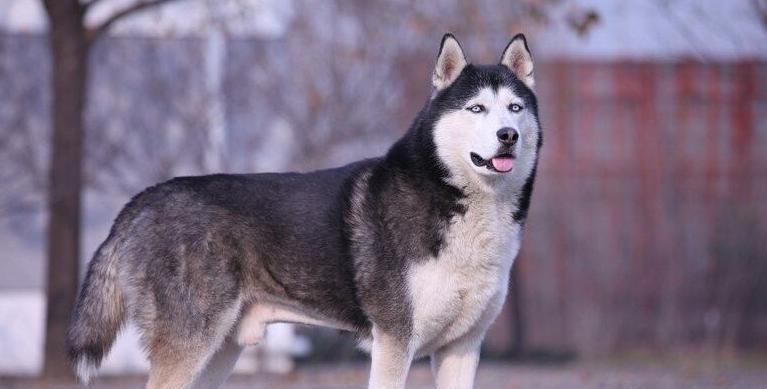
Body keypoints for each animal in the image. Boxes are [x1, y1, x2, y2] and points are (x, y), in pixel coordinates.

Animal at [69, 33, 544, 388]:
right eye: (476, 108)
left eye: (515, 108)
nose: (507, 135)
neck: (457, 201)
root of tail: (145, 197)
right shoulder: (394, 343)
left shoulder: (461, 348)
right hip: (191, 346)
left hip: (220, 353)